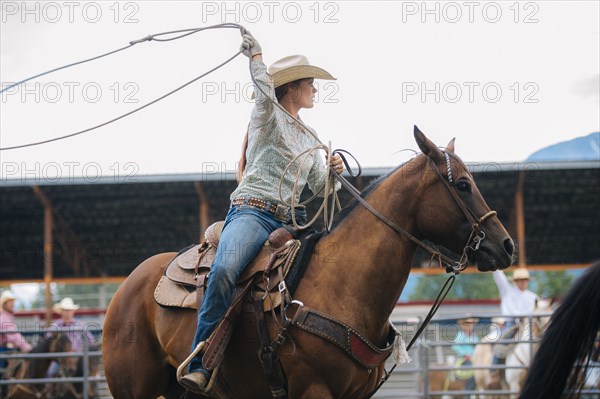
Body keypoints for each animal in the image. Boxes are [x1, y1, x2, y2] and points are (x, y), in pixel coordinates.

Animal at [104, 129, 516, 399]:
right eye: (462, 185)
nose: (507, 245)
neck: (344, 284)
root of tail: (127, 285)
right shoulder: (314, 390)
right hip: (133, 387)